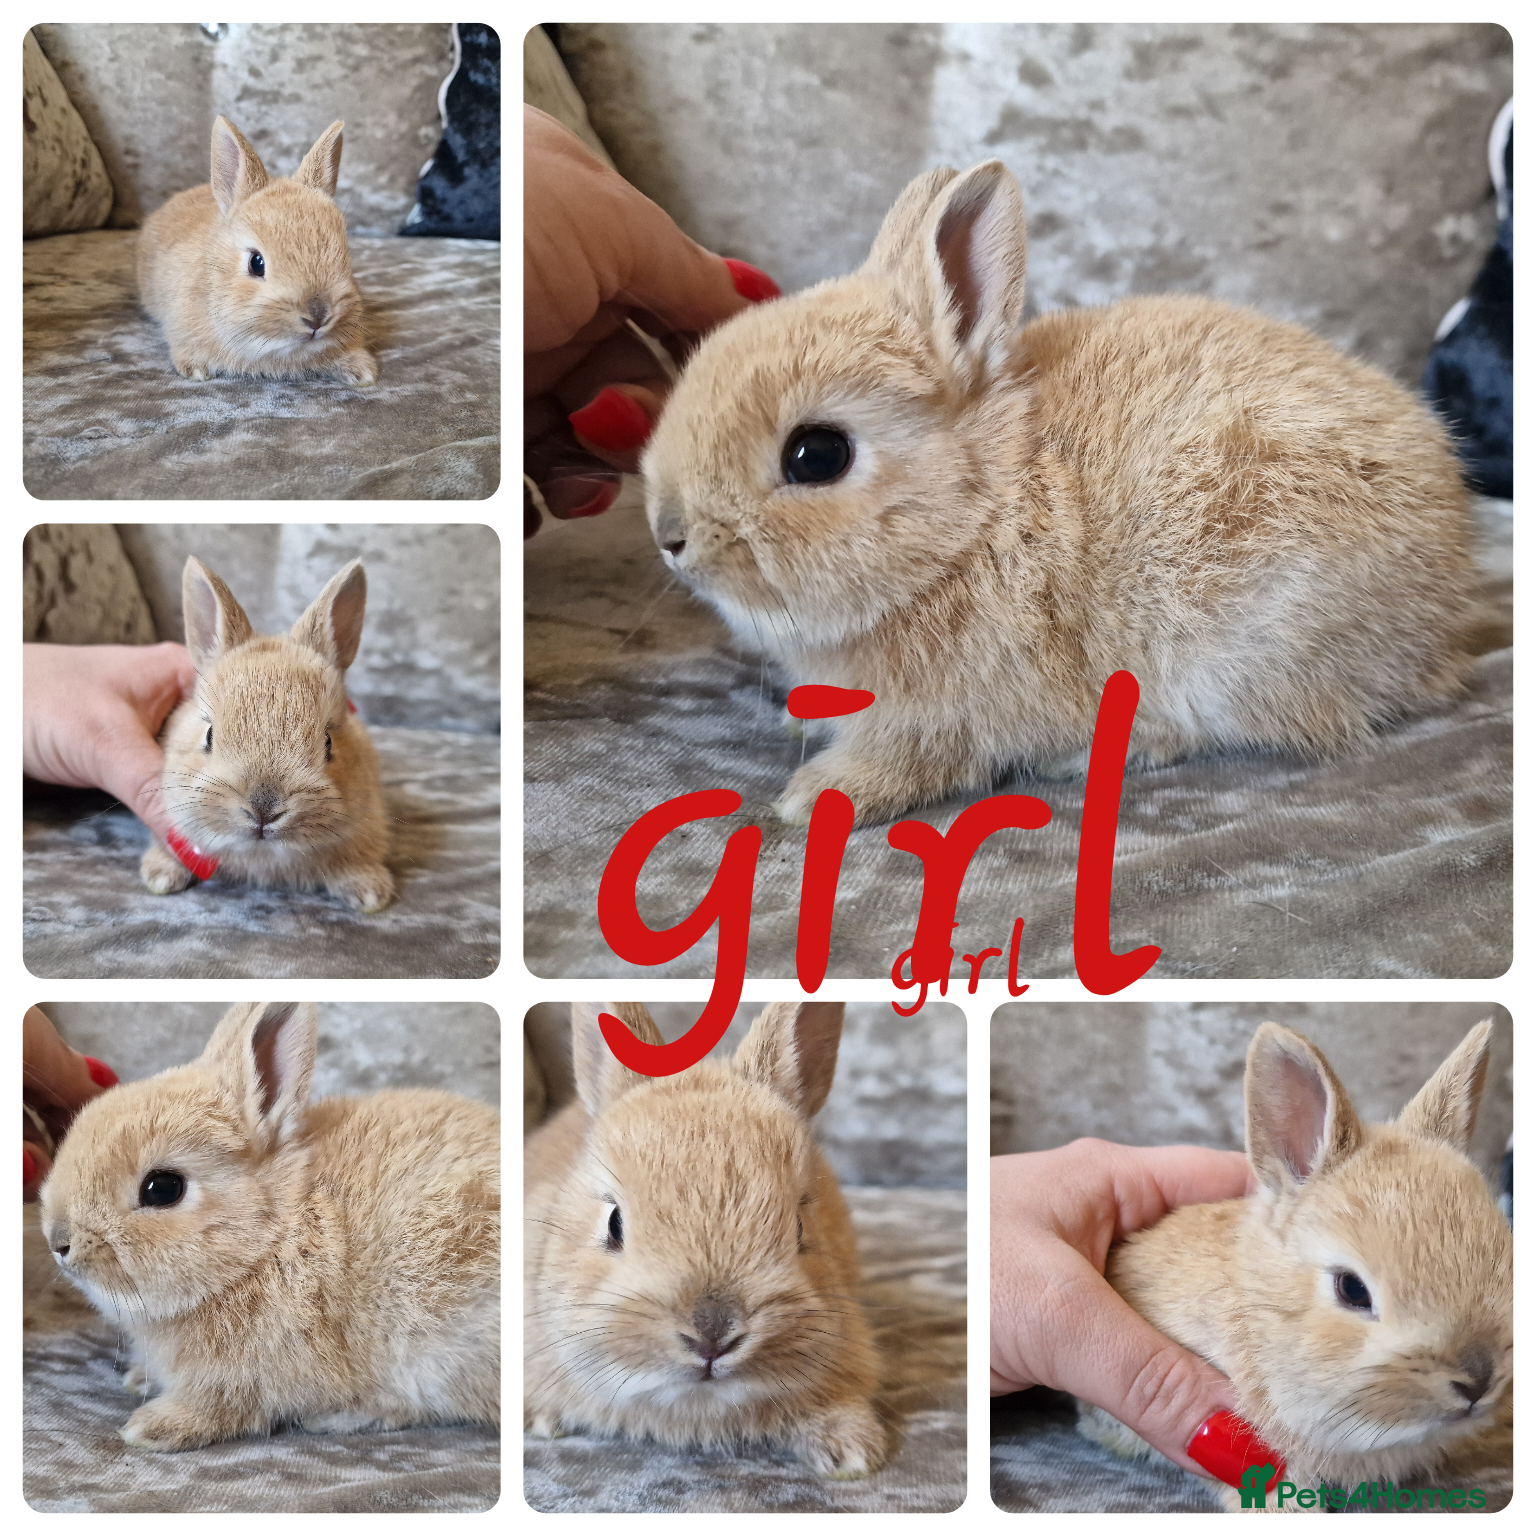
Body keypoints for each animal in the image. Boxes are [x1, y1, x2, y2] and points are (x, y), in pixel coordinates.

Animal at [37, 1001, 500, 1450]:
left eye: (163, 1188)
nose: (59, 1242)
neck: (272, 1238)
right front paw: (137, 1378)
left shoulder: (244, 1377)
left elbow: (222, 1408)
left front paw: (152, 1428)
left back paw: (338, 1417)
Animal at [642, 160, 1476, 825]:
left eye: (818, 455)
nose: (670, 535)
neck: (976, 516)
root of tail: (1439, 623)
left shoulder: (948, 716)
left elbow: (915, 760)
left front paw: (815, 795)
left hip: (1236, 642)